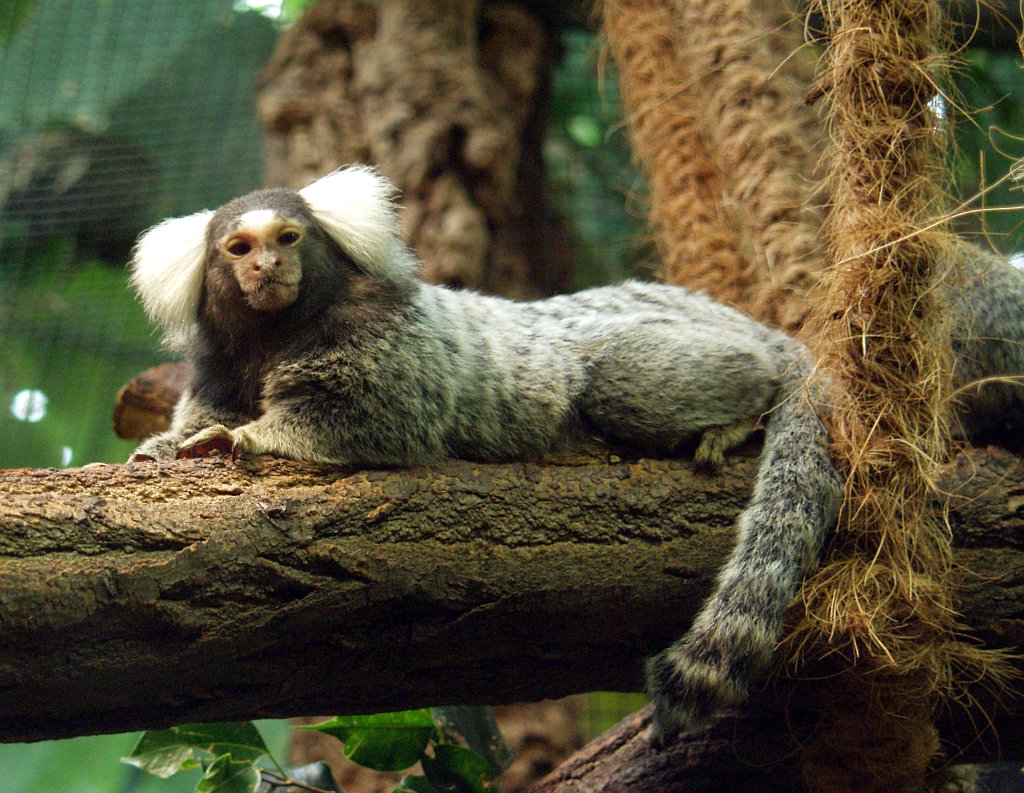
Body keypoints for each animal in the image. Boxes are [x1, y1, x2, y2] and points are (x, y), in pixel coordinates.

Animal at [128, 166, 1024, 745]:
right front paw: (166, 442)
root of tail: (756, 329)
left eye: (288, 237)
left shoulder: (382, 343)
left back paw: (747, 406)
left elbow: (376, 423)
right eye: (237, 249)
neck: (278, 333)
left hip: (661, 357)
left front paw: (245, 437)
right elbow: (194, 415)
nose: (269, 267)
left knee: (611, 372)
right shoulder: (219, 361)